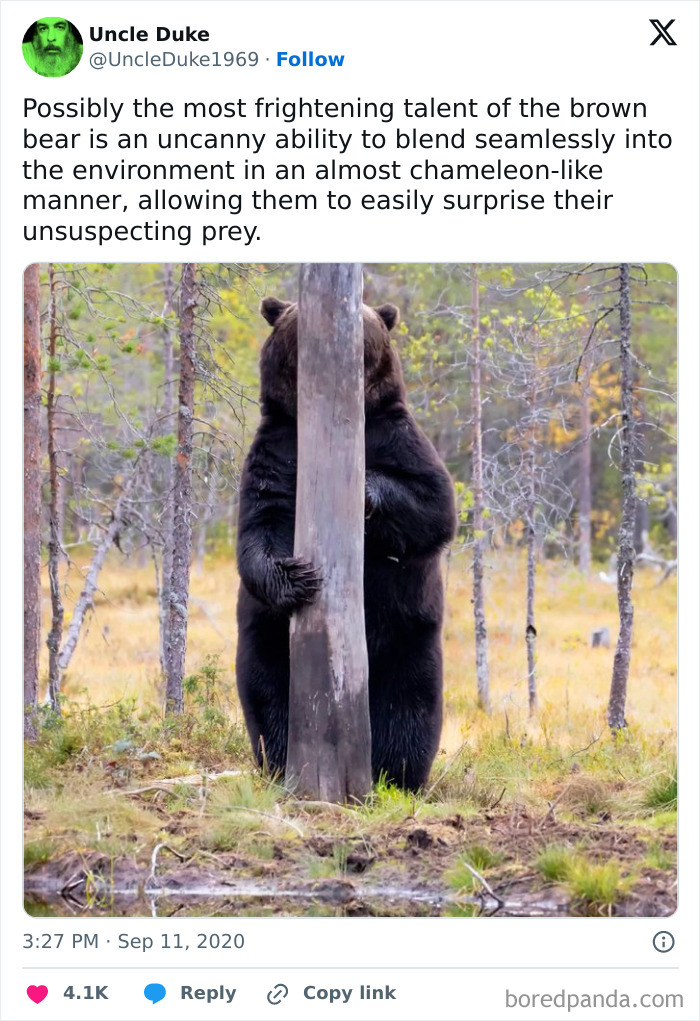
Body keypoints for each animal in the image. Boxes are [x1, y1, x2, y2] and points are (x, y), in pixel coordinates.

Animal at [235, 296, 456, 791]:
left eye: (366, 317)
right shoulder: (277, 450)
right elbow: (259, 526)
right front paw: (297, 577)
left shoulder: (396, 435)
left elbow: (433, 505)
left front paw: (366, 489)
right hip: (267, 640)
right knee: (268, 696)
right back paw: (280, 762)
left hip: (408, 637)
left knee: (409, 708)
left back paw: (398, 775)